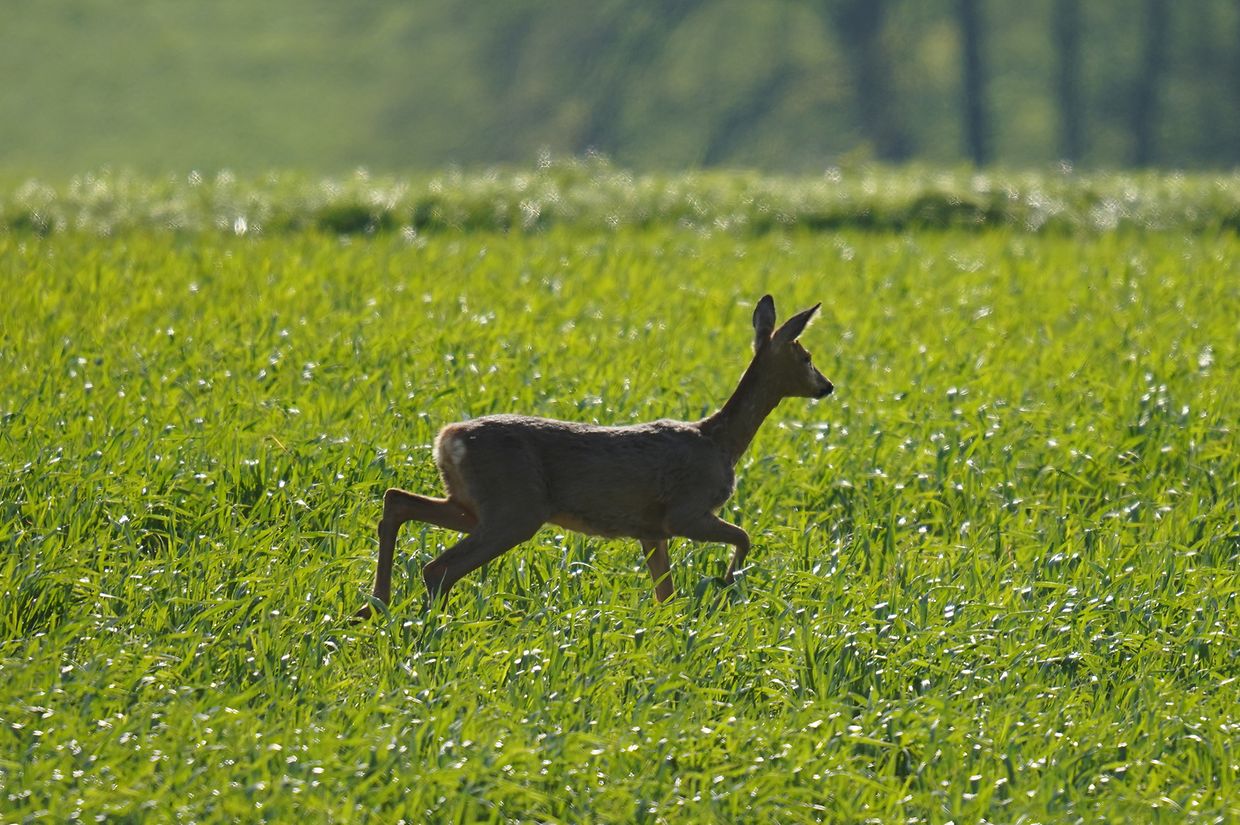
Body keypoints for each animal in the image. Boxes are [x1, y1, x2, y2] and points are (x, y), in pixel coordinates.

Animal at [356, 294, 833, 618]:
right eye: (807, 356)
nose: (827, 386)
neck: (720, 442)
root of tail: (447, 438)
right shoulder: (686, 510)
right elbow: (744, 536)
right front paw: (727, 584)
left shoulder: (651, 530)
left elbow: (666, 594)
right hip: (515, 508)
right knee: (437, 567)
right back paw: (423, 626)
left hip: (473, 503)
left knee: (397, 502)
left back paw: (374, 605)